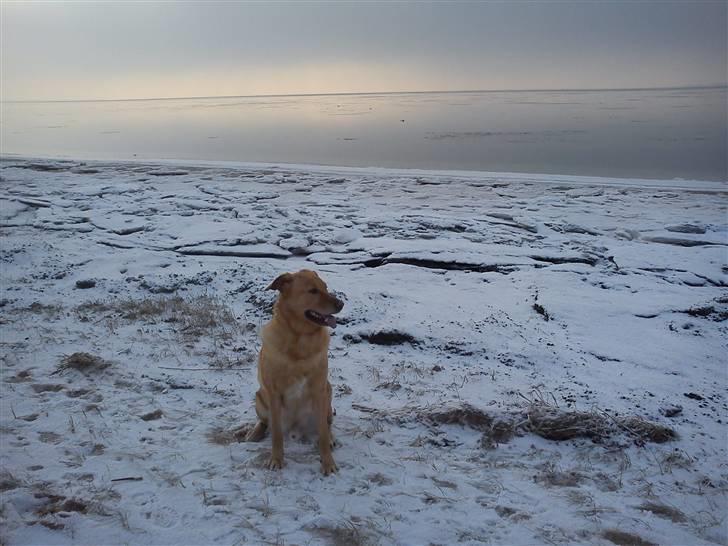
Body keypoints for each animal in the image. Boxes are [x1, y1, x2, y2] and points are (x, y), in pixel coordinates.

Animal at [246, 268, 342, 472]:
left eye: (325, 287)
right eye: (313, 291)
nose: (341, 303)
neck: (300, 339)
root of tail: (296, 429)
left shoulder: (319, 389)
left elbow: (323, 433)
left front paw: (328, 462)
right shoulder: (274, 394)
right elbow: (276, 434)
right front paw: (276, 459)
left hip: (327, 393)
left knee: (327, 424)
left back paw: (330, 438)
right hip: (260, 397)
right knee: (265, 422)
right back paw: (254, 433)